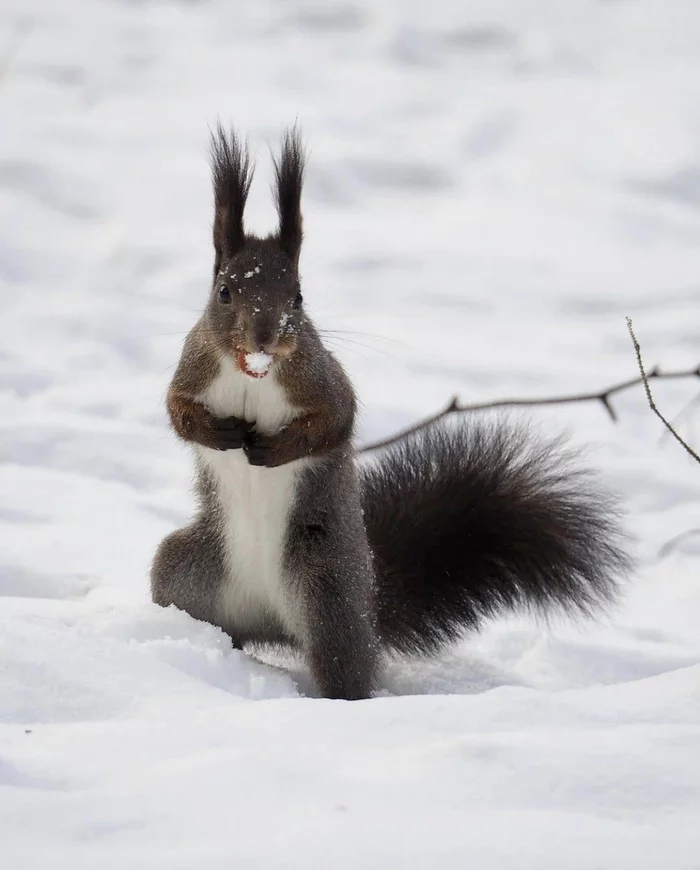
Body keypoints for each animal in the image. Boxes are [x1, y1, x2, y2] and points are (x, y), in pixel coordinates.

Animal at [150, 126, 632, 700]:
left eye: (298, 296)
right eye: (224, 292)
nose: (266, 338)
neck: (254, 377)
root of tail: (271, 622)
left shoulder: (320, 379)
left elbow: (338, 421)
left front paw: (277, 448)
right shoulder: (194, 368)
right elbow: (176, 410)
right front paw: (218, 432)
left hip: (329, 595)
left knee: (344, 666)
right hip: (185, 572)